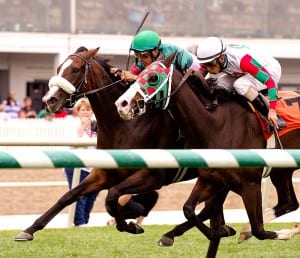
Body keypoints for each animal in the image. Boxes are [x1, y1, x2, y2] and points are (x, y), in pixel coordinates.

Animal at [15, 46, 234, 248]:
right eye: (59, 67)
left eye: (75, 69)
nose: (49, 100)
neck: (125, 125)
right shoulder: (105, 172)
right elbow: (69, 196)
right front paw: (29, 230)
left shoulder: (152, 176)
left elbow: (112, 197)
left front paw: (129, 226)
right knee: (212, 206)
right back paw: (220, 229)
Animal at [115, 53, 300, 255]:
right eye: (140, 72)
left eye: (153, 78)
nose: (122, 104)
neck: (216, 125)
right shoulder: (210, 179)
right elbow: (188, 209)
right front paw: (218, 232)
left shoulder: (250, 184)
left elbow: (259, 230)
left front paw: (286, 232)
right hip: (281, 172)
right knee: (289, 203)